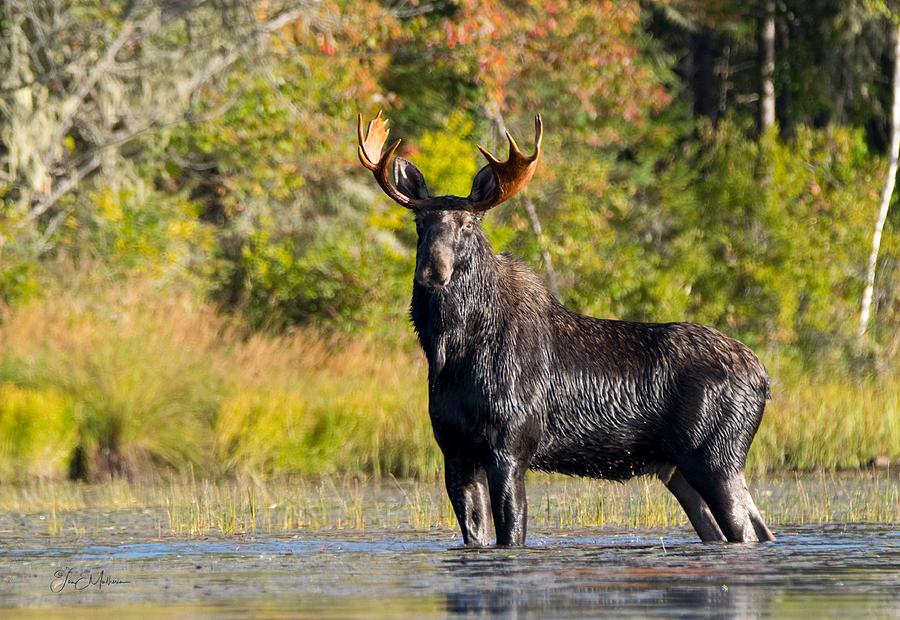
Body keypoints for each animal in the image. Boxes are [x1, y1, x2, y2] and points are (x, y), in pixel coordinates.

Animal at [356, 112, 772, 548]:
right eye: (419, 223)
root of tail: (765, 379)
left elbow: (512, 534)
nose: (433, 271)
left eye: (468, 224)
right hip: (678, 469)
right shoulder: (455, 452)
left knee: (748, 529)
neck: (449, 351)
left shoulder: (511, 446)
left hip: (716, 457)